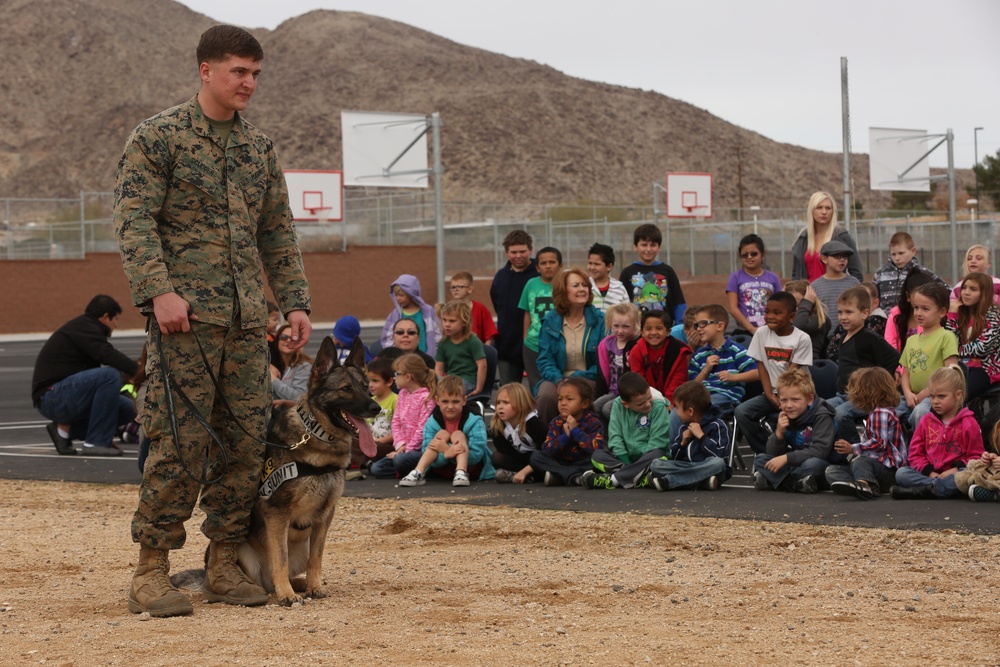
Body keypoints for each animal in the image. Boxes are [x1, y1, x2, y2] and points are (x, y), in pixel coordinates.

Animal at [236, 340, 380, 604]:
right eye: (345, 389)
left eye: (366, 387)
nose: (376, 407)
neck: (317, 437)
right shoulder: (277, 513)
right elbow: (280, 559)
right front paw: (286, 595)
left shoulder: (324, 517)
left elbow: (317, 557)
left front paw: (314, 586)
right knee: (264, 580)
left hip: (302, 545)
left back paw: (300, 584)